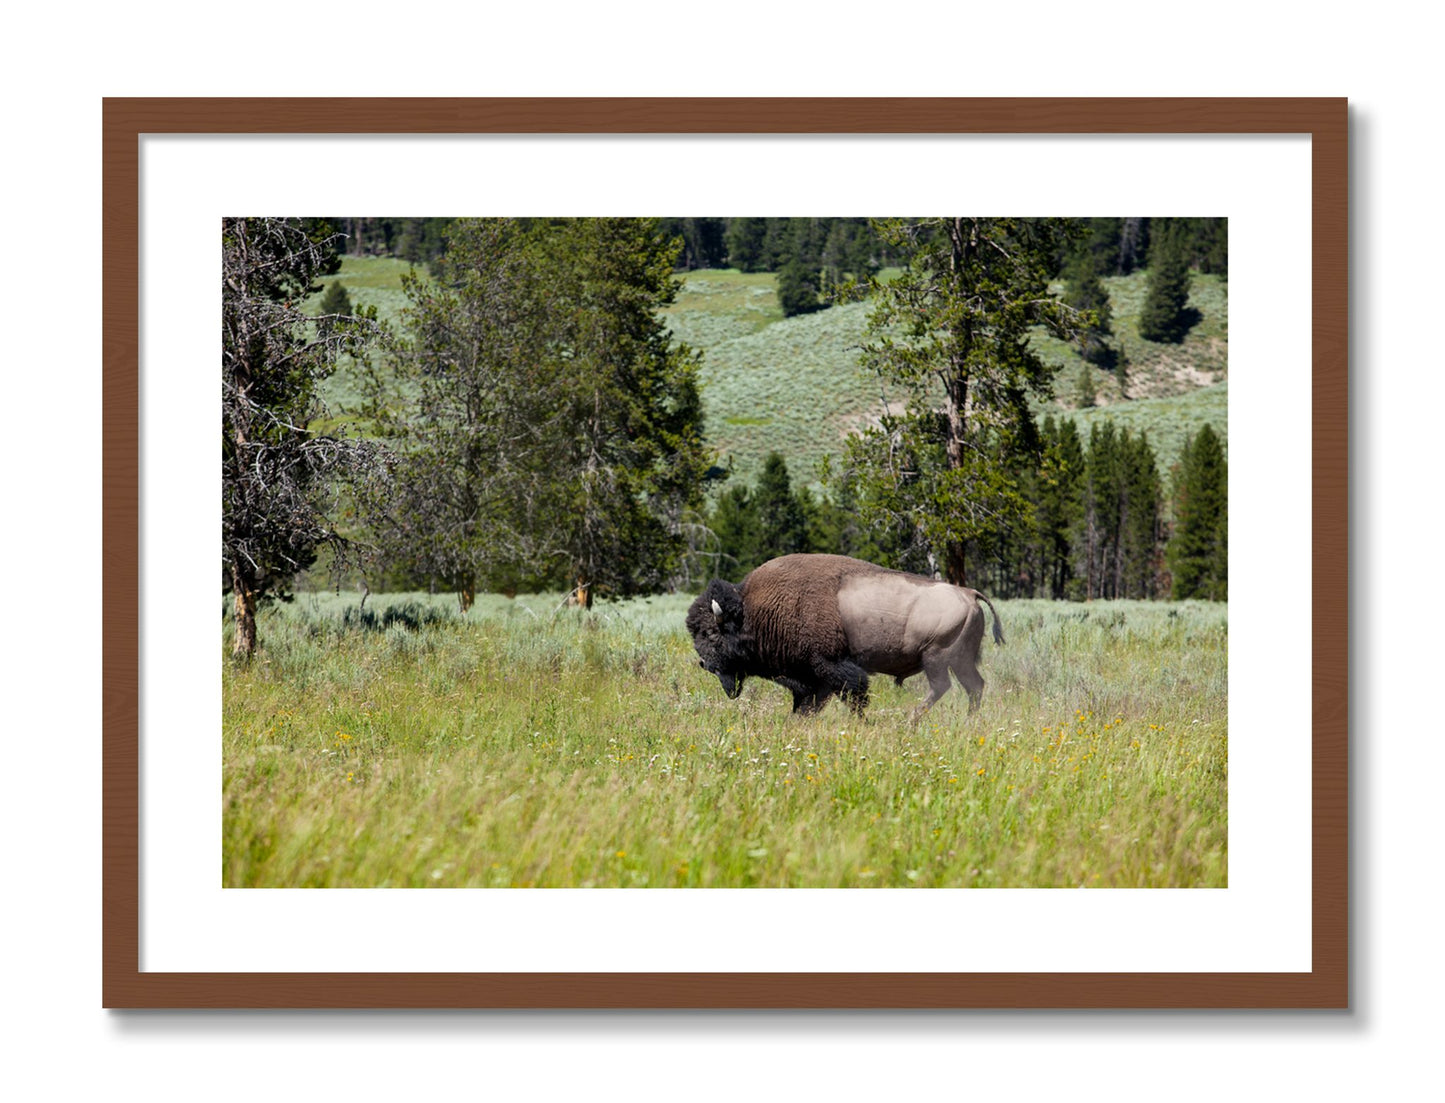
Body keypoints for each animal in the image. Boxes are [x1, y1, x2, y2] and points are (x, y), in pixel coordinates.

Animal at [685, 553, 1004, 720]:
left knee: (943, 687)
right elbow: (808, 705)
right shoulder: (813, 679)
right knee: (974, 686)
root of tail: (969, 593)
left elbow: (854, 695)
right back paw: (967, 721)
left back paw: (910, 721)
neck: (753, 610)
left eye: (711, 633)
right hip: (960, 660)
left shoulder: (831, 667)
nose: (705, 664)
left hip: (936, 657)